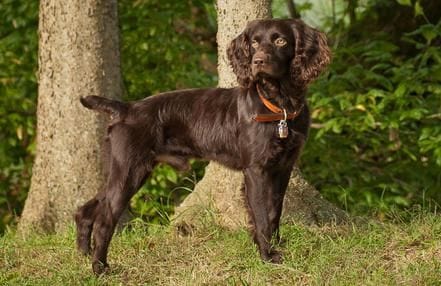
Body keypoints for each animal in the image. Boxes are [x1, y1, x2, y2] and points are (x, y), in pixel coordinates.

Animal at [76, 19, 330, 274]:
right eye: (255, 43)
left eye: (280, 40)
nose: (258, 61)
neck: (281, 108)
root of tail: (125, 108)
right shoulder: (256, 170)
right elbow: (261, 216)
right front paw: (267, 256)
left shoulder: (283, 167)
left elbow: (274, 210)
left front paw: (277, 246)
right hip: (129, 171)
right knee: (105, 219)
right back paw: (100, 268)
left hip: (124, 170)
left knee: (86, 209)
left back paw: (83, 253)